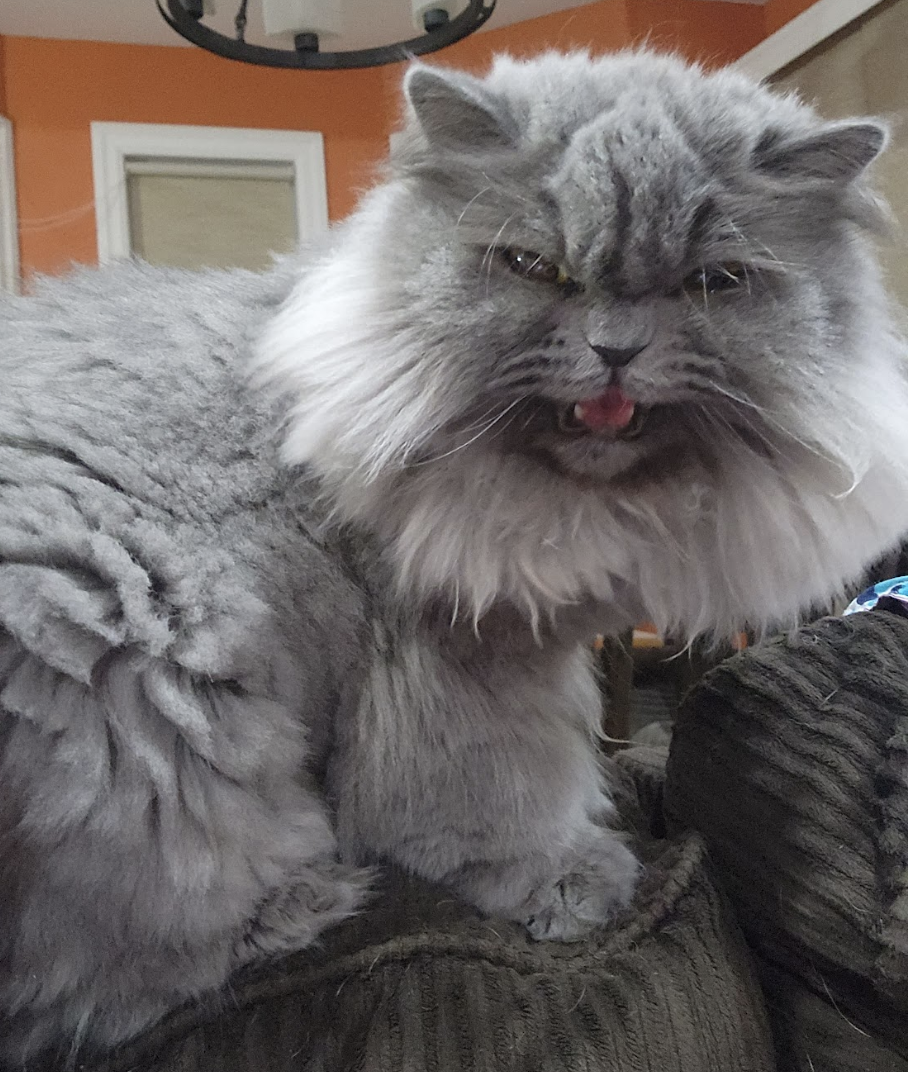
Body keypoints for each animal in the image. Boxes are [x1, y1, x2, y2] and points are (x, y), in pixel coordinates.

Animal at [1, 48, 908, 1063]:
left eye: (712, 283)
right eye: (533, 267)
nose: (616, 350)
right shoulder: (455, 651)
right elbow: (495, 782)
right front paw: (564, 874)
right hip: (134, 663)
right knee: (127, 964)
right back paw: (309, 898)